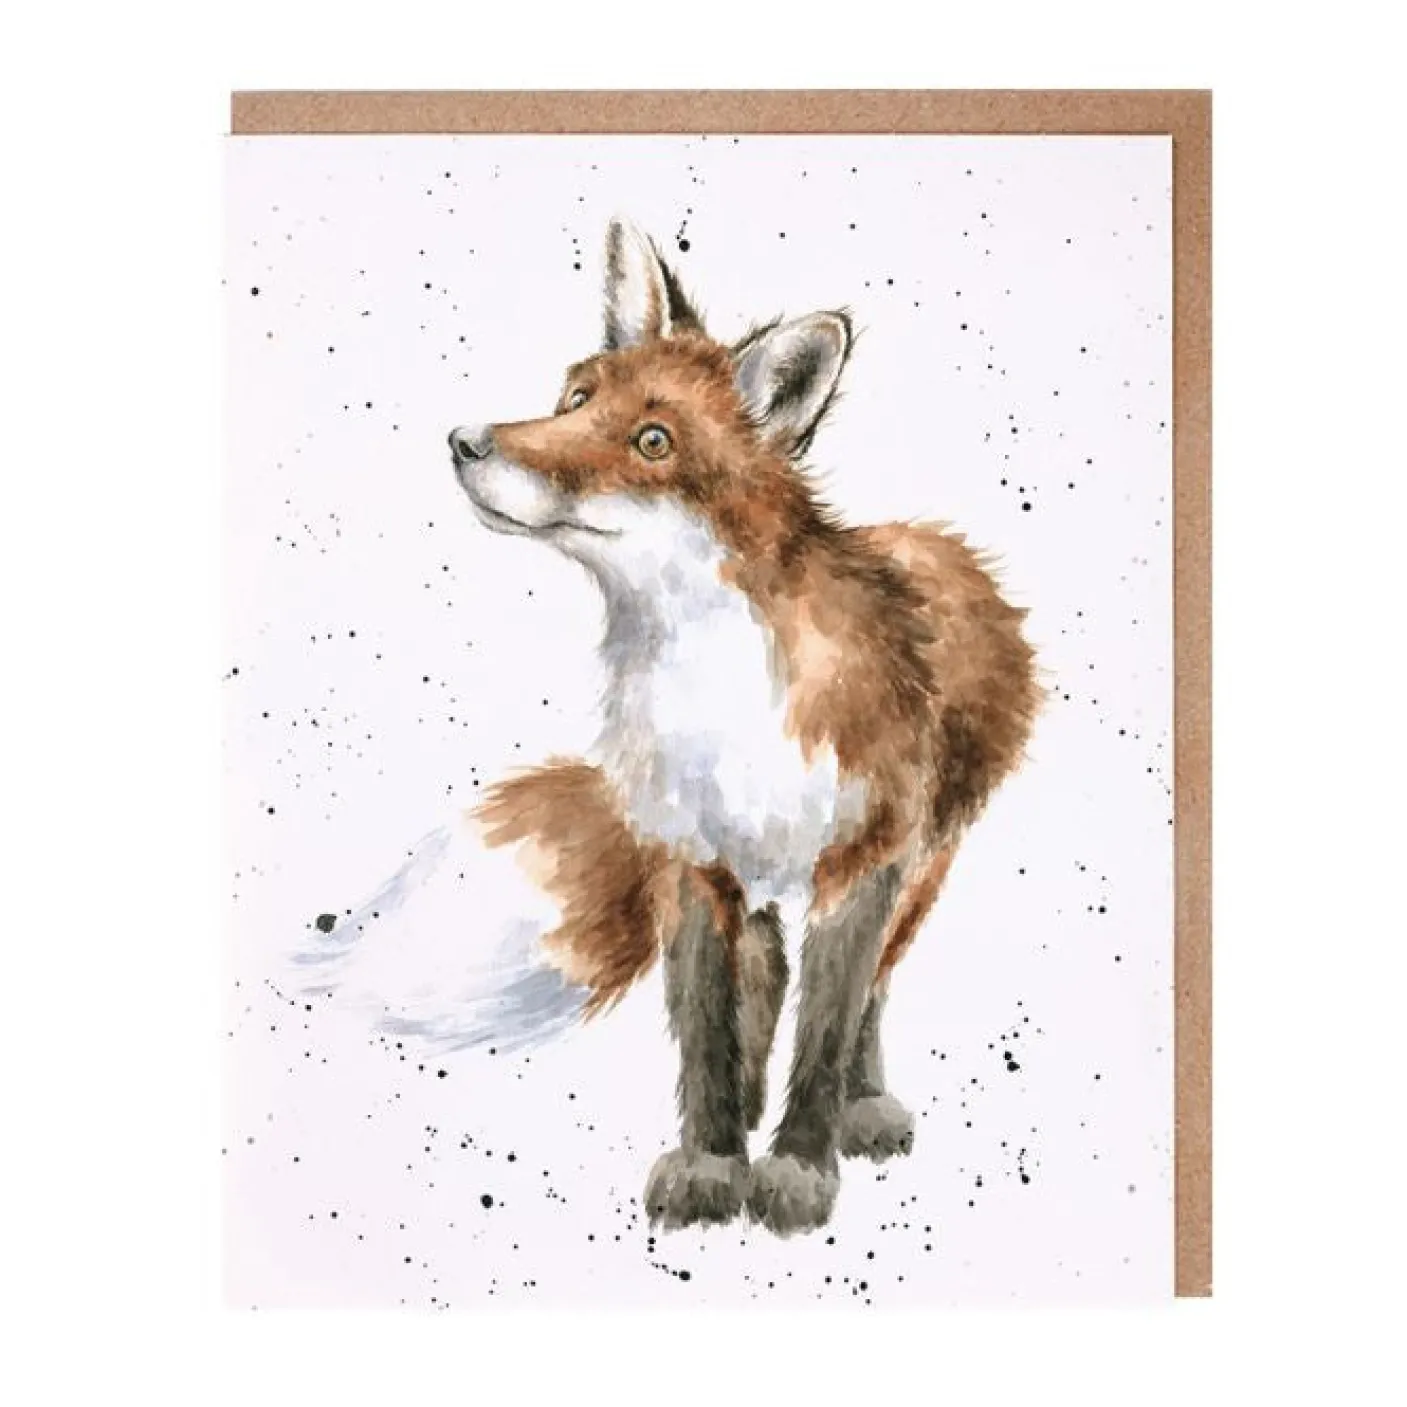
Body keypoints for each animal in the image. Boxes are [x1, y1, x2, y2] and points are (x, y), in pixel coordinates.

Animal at [296, 219, 1040, 1236]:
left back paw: (859, 1106)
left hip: (924, 862)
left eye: (652, 441)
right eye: (574, 398)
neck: (720, 696)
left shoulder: (862, 863)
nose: (466, 442)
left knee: (870, 992)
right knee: (766, 983)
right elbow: (707, 1032)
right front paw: (713, 1159)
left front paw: (796, 1166)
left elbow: (826, 1026)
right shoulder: (691, 865)